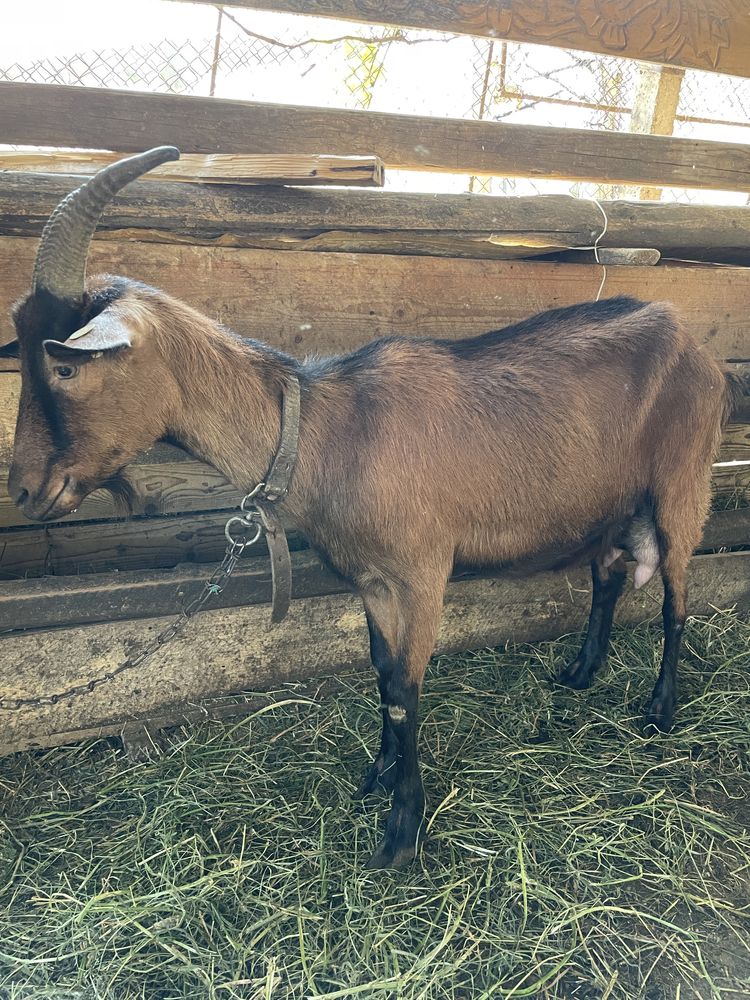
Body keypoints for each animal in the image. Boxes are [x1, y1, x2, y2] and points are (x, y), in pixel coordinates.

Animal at [5, 148, 748, 868]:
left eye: (65, 367)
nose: (25, 491)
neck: (322, 432)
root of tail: (697, 348)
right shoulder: (370, 580)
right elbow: (384, 677)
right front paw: (377, 779)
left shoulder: (421, 574)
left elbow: (408, 691)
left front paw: (402, 830)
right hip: (608, 501)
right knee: (606, 575)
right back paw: (580, 672)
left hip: (682, 482)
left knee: (676, 594)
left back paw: (659, 709)